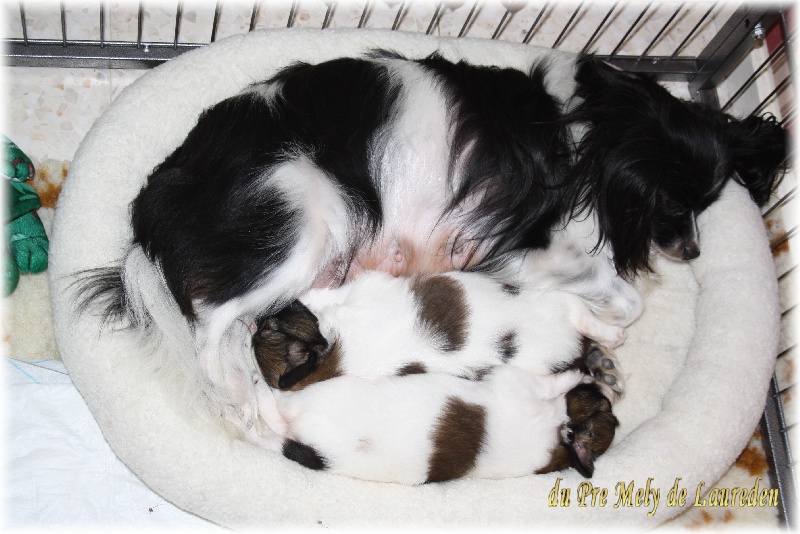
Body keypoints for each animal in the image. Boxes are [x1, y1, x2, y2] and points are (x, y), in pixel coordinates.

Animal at [75, 51, 787, 441]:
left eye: (707, 204)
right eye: (673, 205)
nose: (693, 252)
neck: (595, 126)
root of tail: (155, 199)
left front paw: (597, 349)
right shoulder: (528, 244)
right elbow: (625, 298)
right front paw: (605, 328)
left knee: (240, 322)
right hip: (305, 216)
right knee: (210, 323)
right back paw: (235, 396)